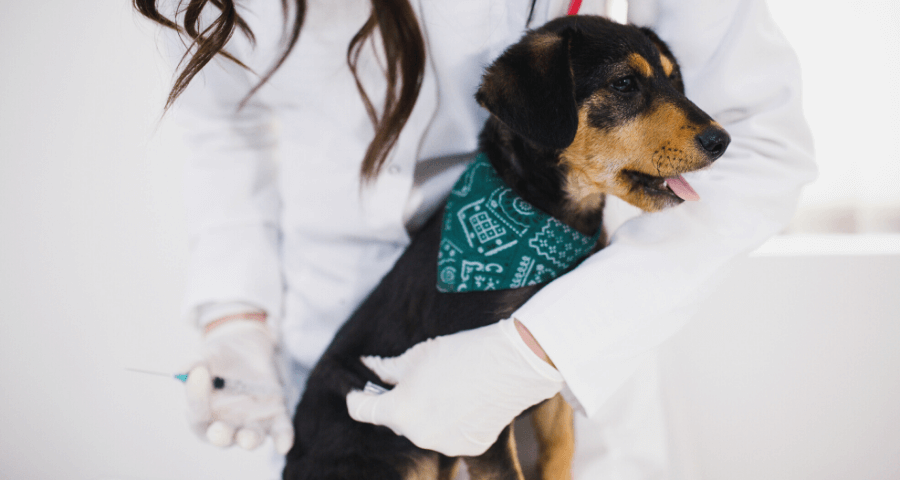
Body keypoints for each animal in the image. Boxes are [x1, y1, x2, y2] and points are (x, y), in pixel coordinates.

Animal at [284, 15, 728, 480]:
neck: (544, 220)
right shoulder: (479, 425)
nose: (722, 141)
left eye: (674, 79)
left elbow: (560, 448)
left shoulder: (539, 382)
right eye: (624, 83)